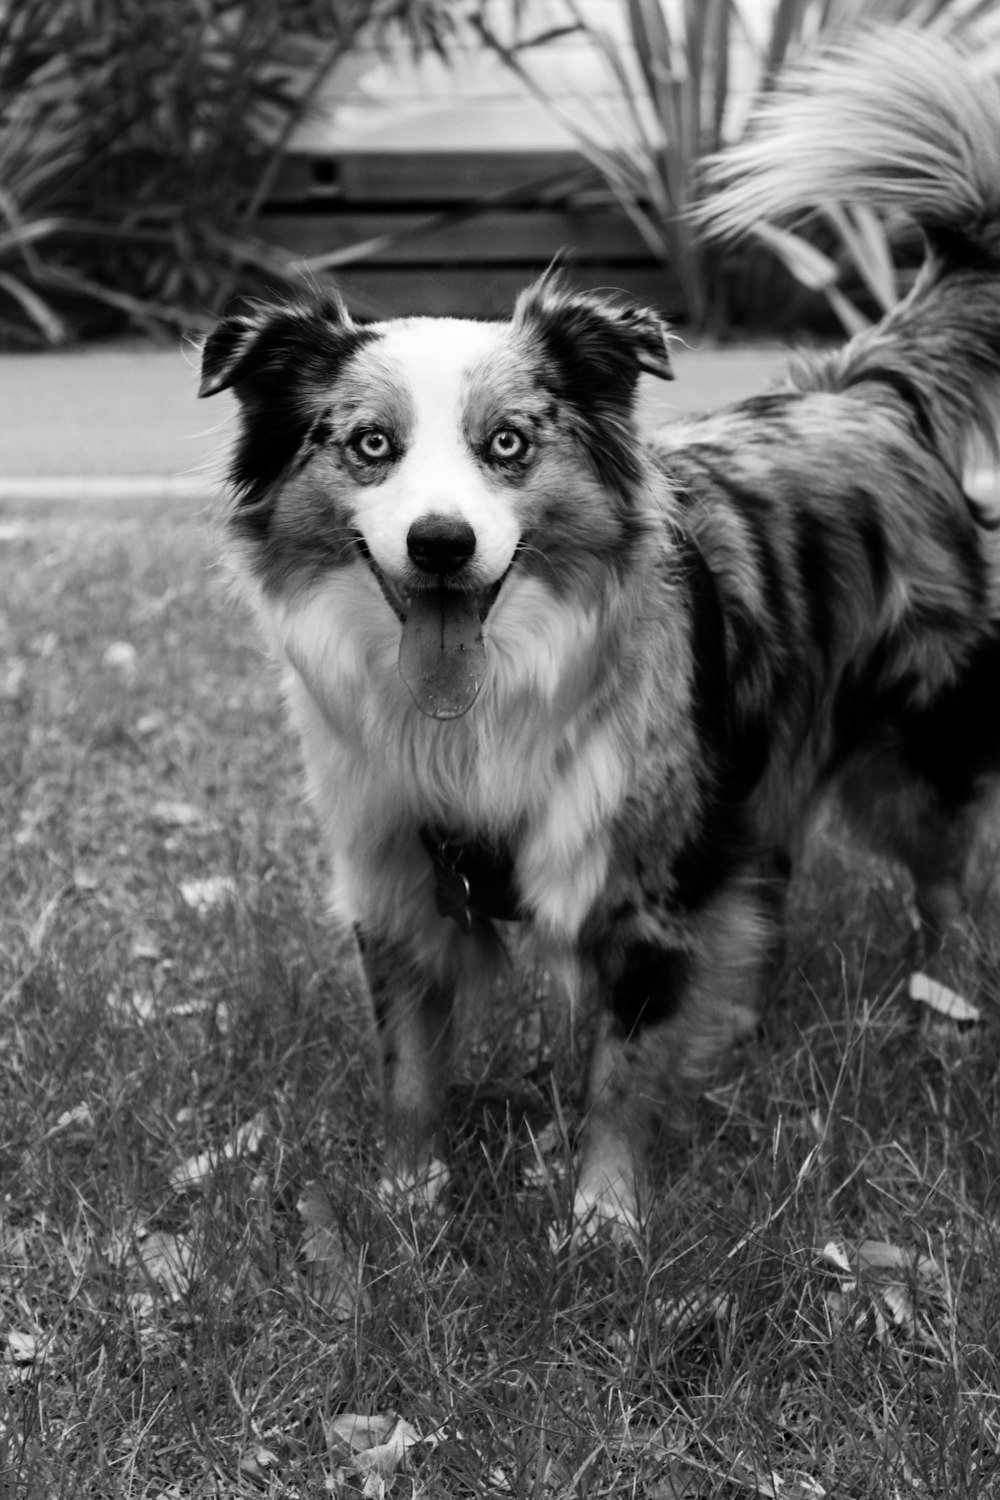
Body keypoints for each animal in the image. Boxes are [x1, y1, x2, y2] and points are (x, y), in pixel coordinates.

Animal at [200, 29, 1000, 1236]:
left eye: (510, 444)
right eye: (371, 445)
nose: (440, 544)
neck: (483, 710)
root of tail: (862, 391)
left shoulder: (640, 873)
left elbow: (620, 1069)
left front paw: (603, 1221)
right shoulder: (393, 870)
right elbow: (410, 1067)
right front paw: (408, 1201)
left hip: (917, 744)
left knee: (943, 879)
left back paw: (942, 1010)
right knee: (768, 879)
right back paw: (741, 1022)